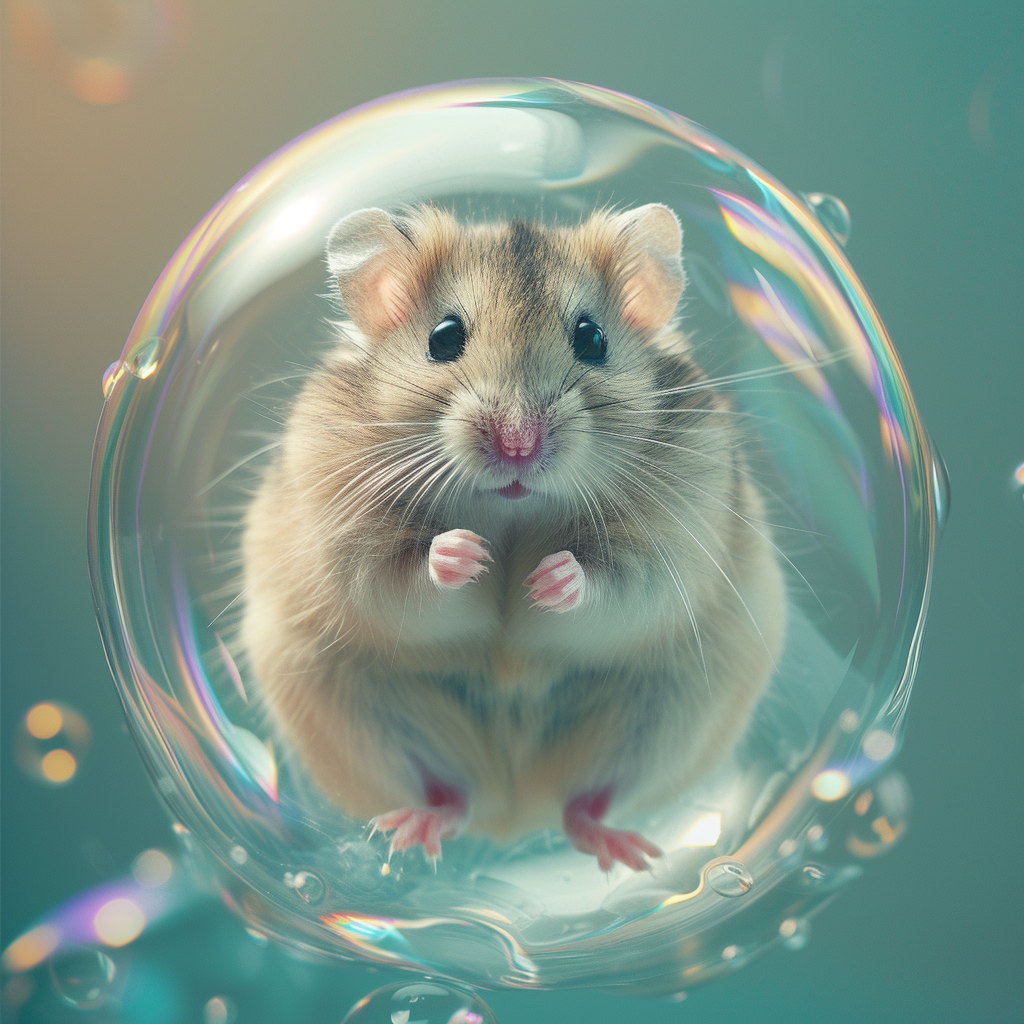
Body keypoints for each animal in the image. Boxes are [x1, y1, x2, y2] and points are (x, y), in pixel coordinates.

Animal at [240, 203, 786, 872]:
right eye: (443, 337)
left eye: (593, 338)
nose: (518, 445)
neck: (512, 513)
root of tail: (515, 816)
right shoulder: (345, 541)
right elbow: (400, 577)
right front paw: (465, 554)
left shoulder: (675, 544)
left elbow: (617, 584)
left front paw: (547, 578)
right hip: (359, 714)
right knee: (452, 796)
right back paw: (410, 832)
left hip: (668, 720)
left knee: (585, 802)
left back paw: (627, 853)